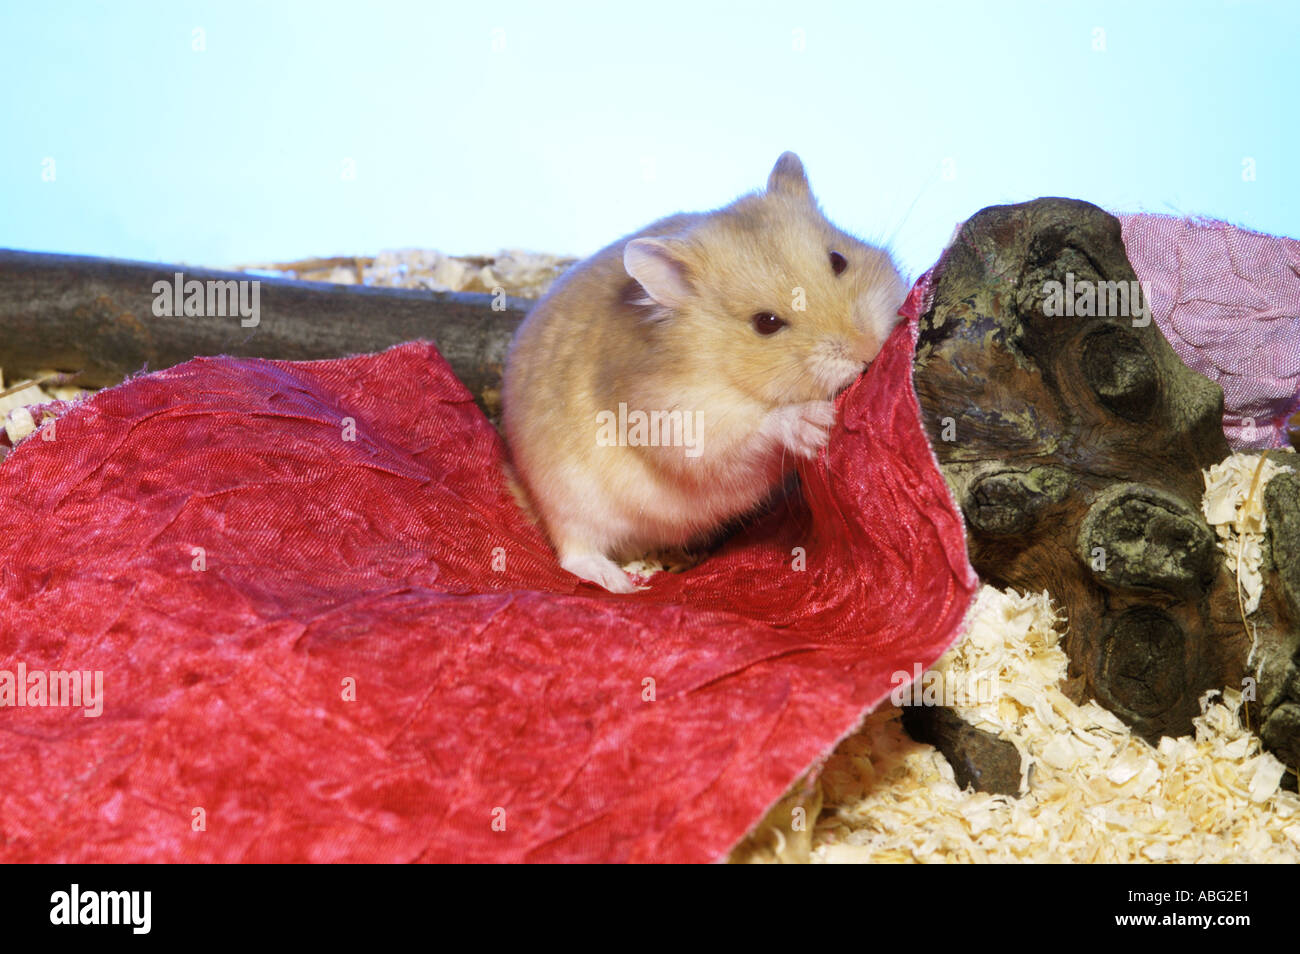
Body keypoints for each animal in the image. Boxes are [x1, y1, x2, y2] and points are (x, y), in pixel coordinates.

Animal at [502, 152, 906, 593]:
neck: (726, 371)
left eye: (838, 260)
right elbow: (756, 430)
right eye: (766, 323)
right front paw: (816, 423)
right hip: (567, 498)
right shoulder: (685, 422)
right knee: (574, 549)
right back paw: (622, 583)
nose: (868, 351)